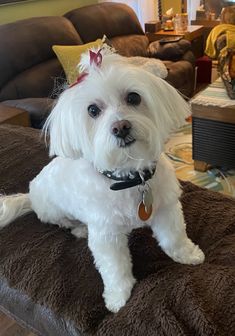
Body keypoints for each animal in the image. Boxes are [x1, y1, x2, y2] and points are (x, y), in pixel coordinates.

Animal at [0, 48, 204, 314]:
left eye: (133, 98)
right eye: (93, 111)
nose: (121, 127)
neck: (129, 178)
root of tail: (30, 195)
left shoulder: (166, 209)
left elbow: (174, 237)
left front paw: (187, 255)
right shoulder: (106, 235)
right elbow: (114, 267)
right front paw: (118, 297)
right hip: (52, 211)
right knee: (64, 222)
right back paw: (79, 228)